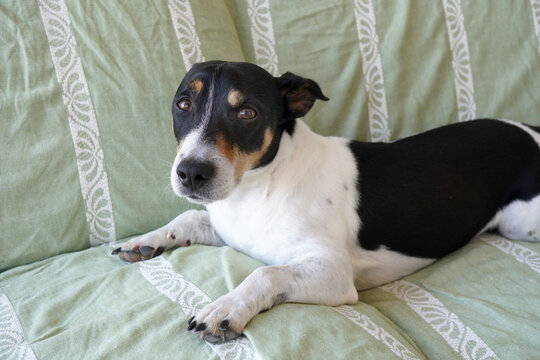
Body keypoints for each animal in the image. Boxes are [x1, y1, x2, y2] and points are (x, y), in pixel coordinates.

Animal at [112, 61, 540, 344]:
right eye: (184, 104)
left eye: (247, 112)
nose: (190, 173)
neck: (259, 187)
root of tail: (530, 130)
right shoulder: (227, 227)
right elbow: (188, 217)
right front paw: (145, 240)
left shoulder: (332, 272)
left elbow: (267, 273)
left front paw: (226, 308)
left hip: (521, 223)